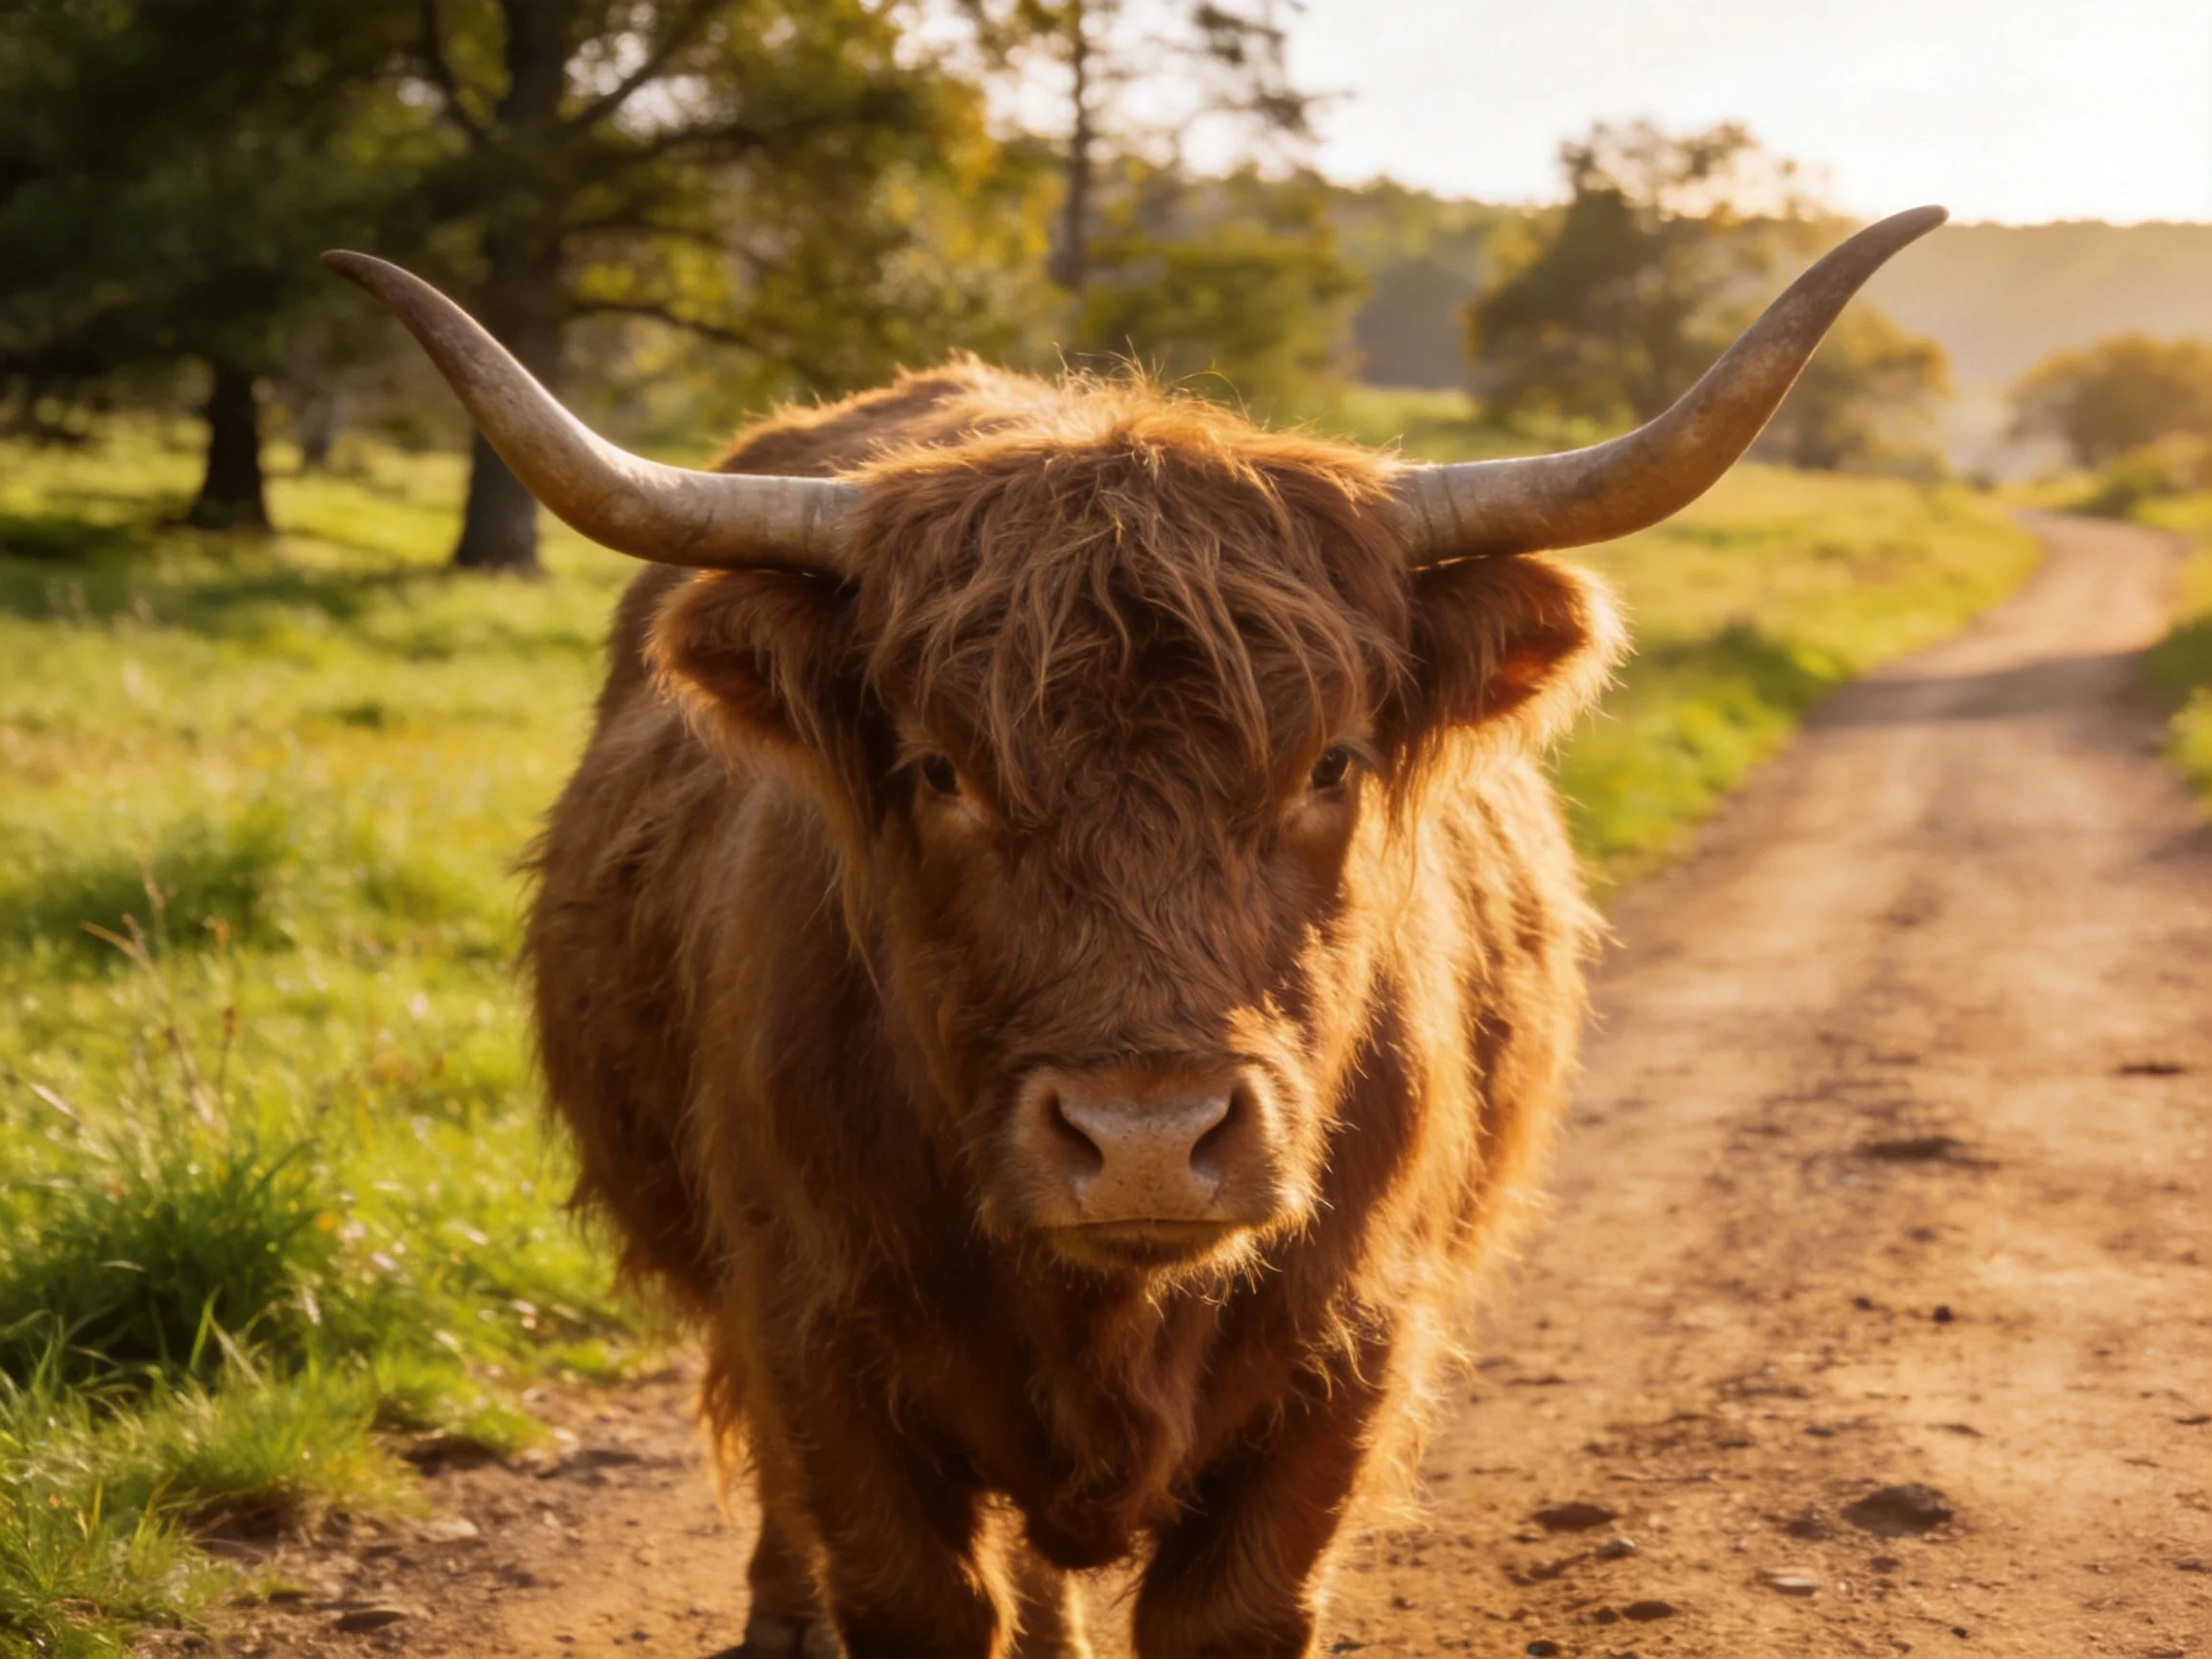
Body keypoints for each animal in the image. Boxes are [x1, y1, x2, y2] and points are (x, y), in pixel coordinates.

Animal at [326, 205, 1943, 1659]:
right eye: (942, 771)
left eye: (1329, 764)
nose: (1150, 1139)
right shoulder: (820, 1341)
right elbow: (907, 1592)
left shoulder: (1348, 1352)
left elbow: (1233, 1611)